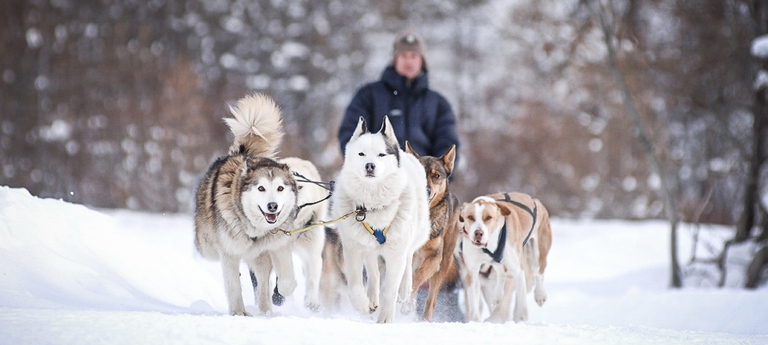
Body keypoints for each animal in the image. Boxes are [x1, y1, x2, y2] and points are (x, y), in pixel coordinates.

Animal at [404, 142, 460, 320]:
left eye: (436, 176)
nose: (426, 190)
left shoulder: (434, 258)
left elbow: (417, 277)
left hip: (443, 265)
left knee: (431, 300)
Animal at [456, 192, 552, 322]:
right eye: (470, 217)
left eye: (488, 217)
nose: (478, 233)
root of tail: (534, 199)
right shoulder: (472, 271)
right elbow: (474, 302)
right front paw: (474, 321)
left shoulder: (516, 269)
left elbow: (521, 301)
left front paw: (521, 319)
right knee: (501, 274)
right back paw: (497, 295)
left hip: (538, 252)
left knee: (539, 272)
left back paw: (540, 295)